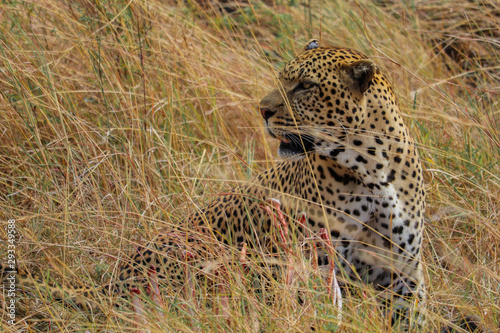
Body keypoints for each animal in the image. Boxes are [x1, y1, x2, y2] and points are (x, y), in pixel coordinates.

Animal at [4, 40, 426, 326]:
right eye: (282, 80)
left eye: (305, 86)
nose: (262, 110)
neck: (371, 172)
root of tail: (110, 282)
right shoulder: (315, 268)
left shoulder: (404, 272)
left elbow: (411, 319)